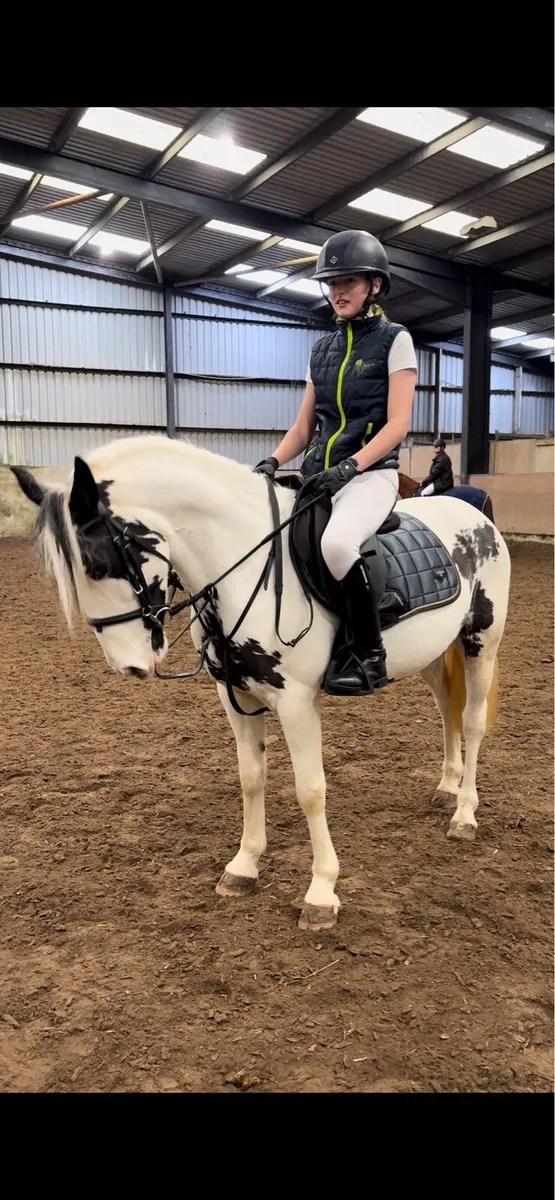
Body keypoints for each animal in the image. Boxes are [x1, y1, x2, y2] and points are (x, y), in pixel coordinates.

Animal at [11, 434, 511, 934]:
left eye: (97, 564)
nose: (129, 666)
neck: (243, 565)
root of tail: (475, 515)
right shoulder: (236, 695)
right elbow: (251, 777)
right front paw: (244, 866)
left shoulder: (295, 701)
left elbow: (310, 790)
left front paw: (321, 891)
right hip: (434, 651)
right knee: (447, 709)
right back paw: (446, 787)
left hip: (480, 643)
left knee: (471, 722)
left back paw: (464, 813)